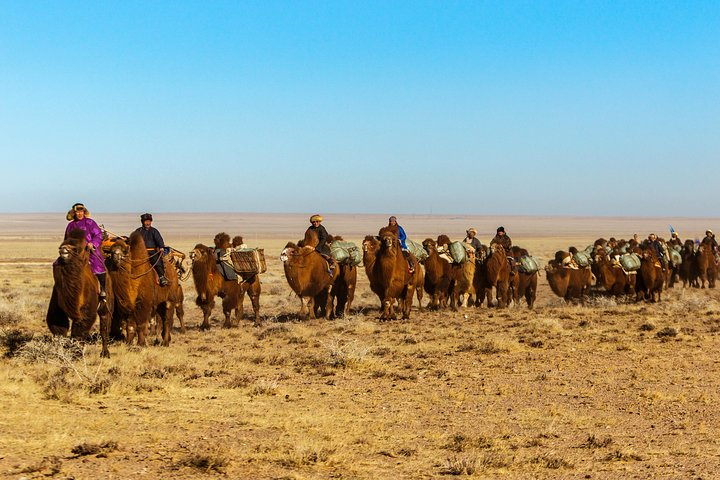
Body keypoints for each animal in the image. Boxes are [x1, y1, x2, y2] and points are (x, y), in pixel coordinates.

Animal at [46, 229, 113, 358]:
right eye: (63, 243)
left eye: (75, 248)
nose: (63, 250)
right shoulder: (57, 306)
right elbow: (58, 328)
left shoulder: (87, 310)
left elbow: (79, 331)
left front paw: (76, 354)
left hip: (105, 303)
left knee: (104, 325)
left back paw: (105, 353)